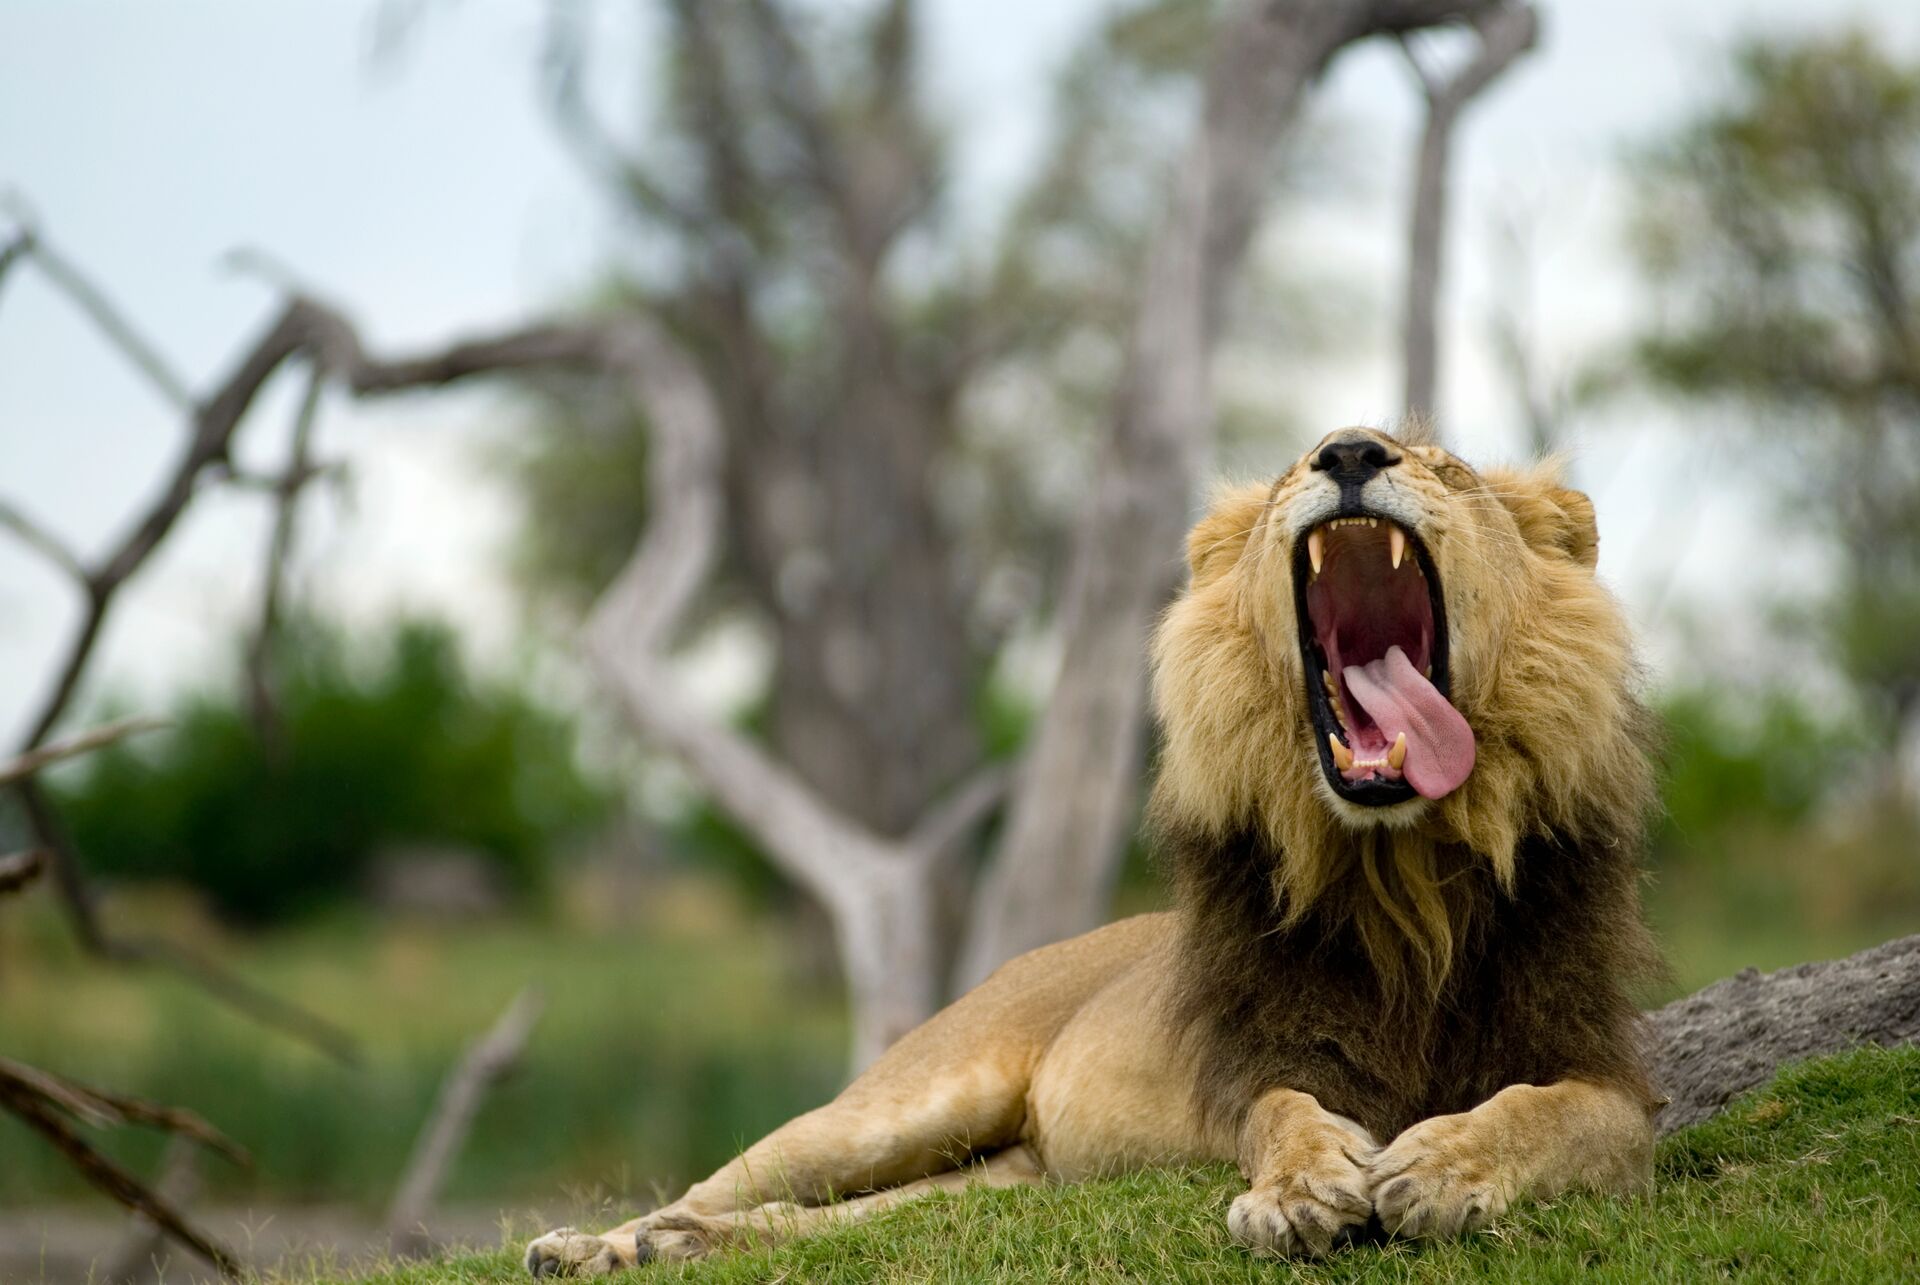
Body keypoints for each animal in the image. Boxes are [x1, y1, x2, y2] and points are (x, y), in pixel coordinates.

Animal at [525, 425, 1662, 1275]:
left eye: (1450, 468)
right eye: (1295, 467)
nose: (1348, 451)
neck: (1402, 876)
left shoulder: (1606, 1075)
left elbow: (1544, 1113)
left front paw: (1442, 1167)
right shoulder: (1254, 1065)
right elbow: (1284, 1115)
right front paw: (1298, 1193)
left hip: (994, 1176)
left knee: (834, 1220)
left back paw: (676, 1246)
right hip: (895, 1107)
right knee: (730, 1180)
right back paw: (597, 1244)